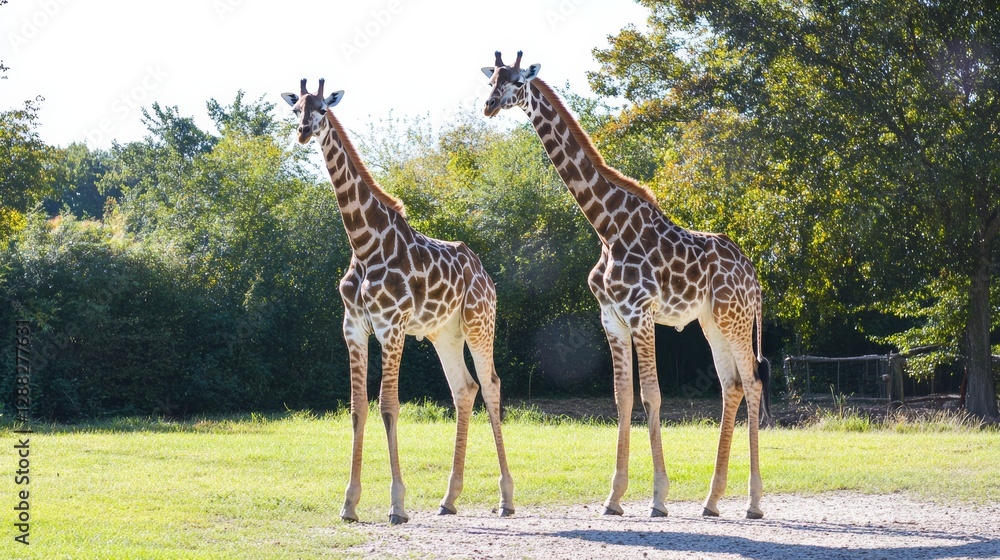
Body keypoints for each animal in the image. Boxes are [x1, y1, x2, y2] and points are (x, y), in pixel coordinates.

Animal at [282, 79, 514, 525]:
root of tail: (486, 276)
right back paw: (449, 498)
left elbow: (388, 405)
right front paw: (349, 504)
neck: (364, 243)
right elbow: (357, 408)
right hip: (445, 334)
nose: (303, 132)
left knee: (492, 384)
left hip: (480, 323)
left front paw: (397, 505)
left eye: (322, 108)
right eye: (296, 108)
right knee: (465, 389)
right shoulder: (353, 327)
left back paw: (507, 498)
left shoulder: (392, 325)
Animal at [481, 52, 772, 519]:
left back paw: (754, 502)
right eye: (490, 79)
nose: (489, 105)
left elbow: (651, 395)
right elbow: (622, 397)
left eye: (516, 81)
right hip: (711, 322)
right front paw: (614, 498)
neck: (607, 227)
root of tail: (754, 275)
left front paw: (658, 498)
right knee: (732, 386)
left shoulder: (641, 312)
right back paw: (711, 501)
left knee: (753, 382)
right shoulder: (611, 318)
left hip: (736, 317)